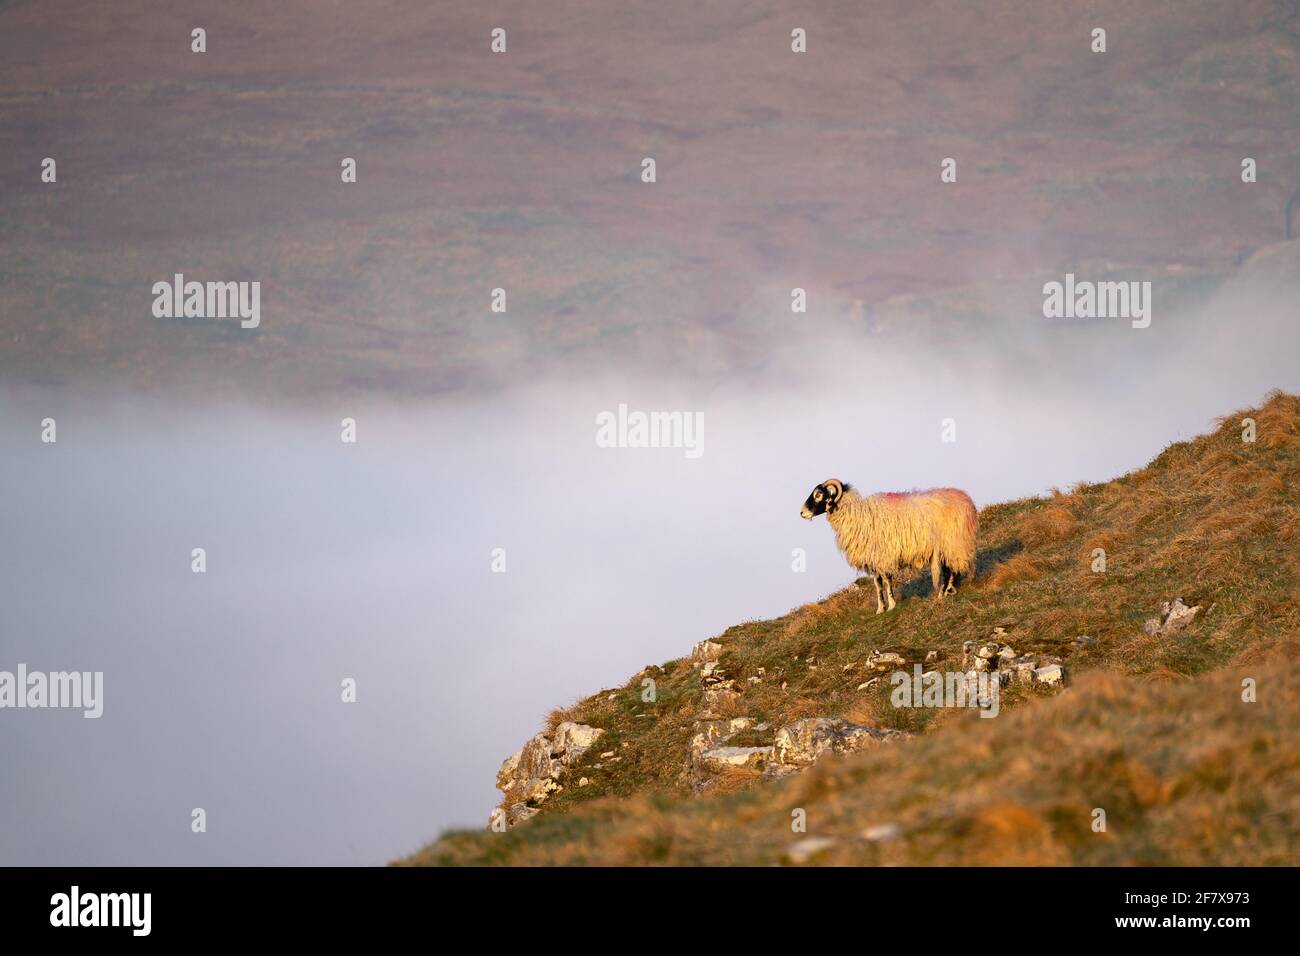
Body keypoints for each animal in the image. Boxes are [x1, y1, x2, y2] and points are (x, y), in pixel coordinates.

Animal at [800, 478, 977, 613]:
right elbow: (877, 584)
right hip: (948, 546)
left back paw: (945, 591)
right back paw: (947, 591)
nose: (802, 513)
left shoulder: (883, 556)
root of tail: (965, 498)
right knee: (950, 568)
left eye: (818, 494)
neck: (857, 515)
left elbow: (886, 581)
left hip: (954, 542)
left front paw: (891, 605)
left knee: (952, 568)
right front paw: (880, 609)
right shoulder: (873, 559)